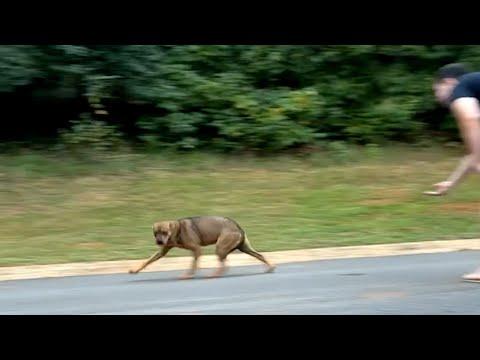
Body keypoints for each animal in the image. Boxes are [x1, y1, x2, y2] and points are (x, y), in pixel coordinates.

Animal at [129, 217, 276, 278]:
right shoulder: (162, 251)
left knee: (224, 265)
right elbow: (147, 261)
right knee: (260, 255)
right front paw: (135, 270)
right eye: (155, 233)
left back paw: (215, 274)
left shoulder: (197, 249)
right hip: (244, 248)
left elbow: (193, 264)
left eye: (164, 232)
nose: (159, 241)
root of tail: (238, 227)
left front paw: (189, 274)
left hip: (220, 247)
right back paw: (270, 267)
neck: (177, 229)